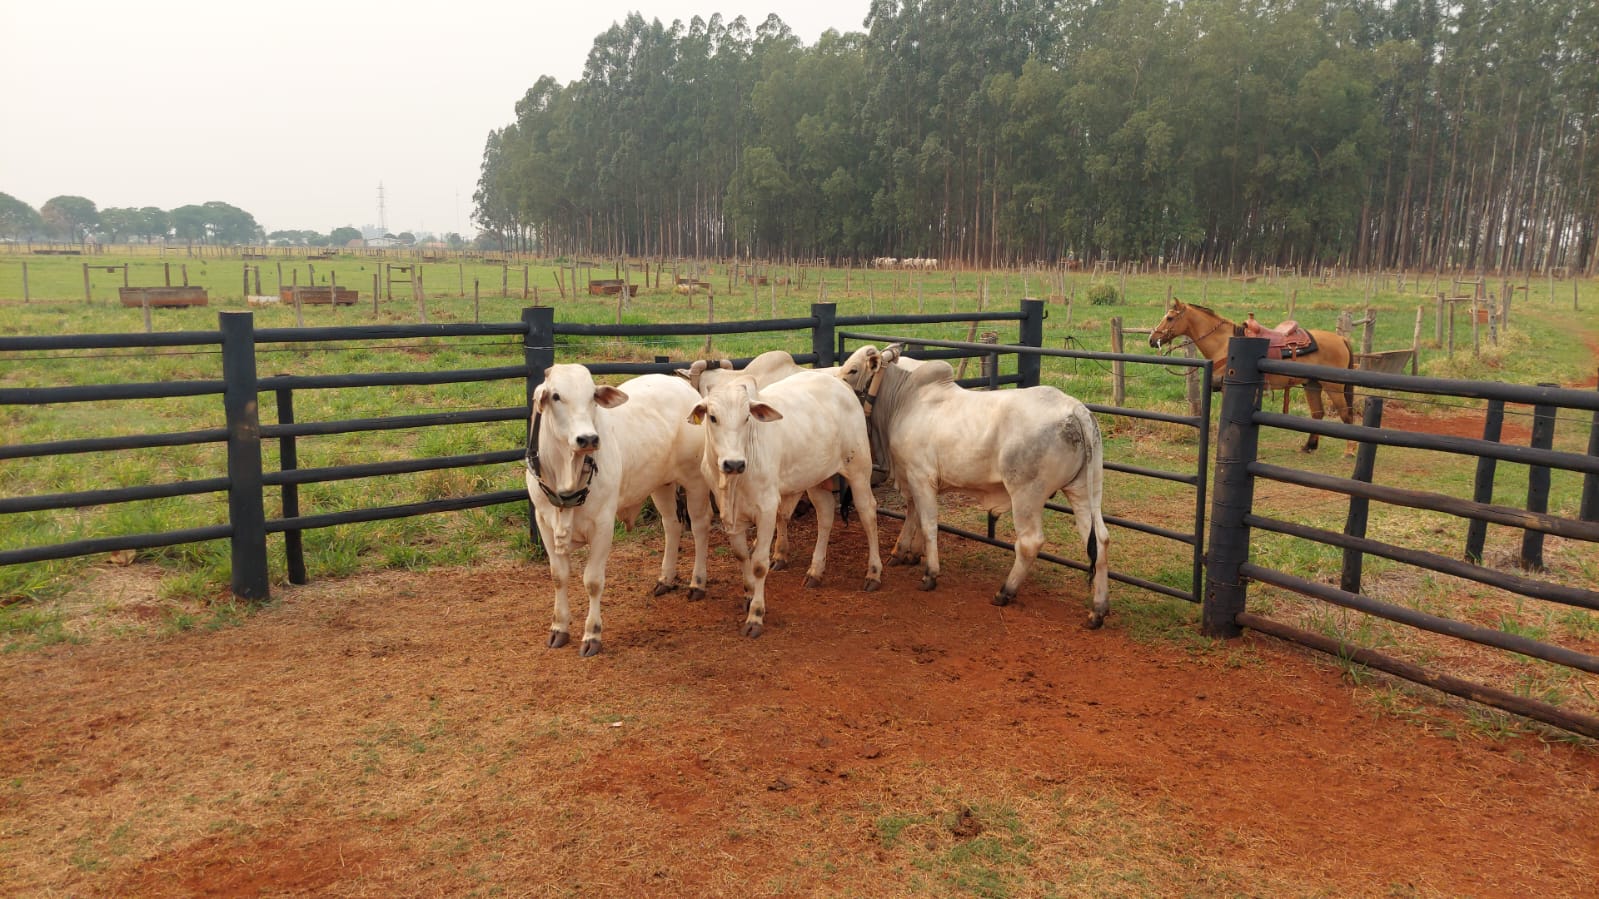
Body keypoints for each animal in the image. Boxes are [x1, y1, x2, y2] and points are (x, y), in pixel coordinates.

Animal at [524, 361, 713, 649]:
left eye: (592, 395)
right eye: (556, 396)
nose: (588, 439)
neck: (566, 473)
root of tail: (681, 384)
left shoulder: (603, 525)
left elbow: (592, 581)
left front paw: (592, 633)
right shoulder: (544, 523)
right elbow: (558, 576)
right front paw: (559, 627)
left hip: (695, 481)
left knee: (701, 528)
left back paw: (697, 583)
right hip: (661, 484)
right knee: (672, 525)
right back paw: (665, 579)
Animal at [690, 367, 889, 633]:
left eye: (747, 418)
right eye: (712, 417)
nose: (734, 463)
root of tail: (840, 383)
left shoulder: (766, 508)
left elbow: (759, 563)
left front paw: (756, 614)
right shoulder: (729, 513)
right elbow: (742, 555)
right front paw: (748, 594)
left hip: (859, 470)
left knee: (868, 513)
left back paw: (873, 573)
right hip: (815, 478)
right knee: (826, 514)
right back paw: (815, 571)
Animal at [837, 340, 1112, 623]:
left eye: (853, 369)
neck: (903, 398)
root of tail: (1074, 408)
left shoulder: (920, 476)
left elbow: (928, 523)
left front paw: (930, 573)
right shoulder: (909, 477)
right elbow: (914, 515)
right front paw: (905, 553)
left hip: (1026, 494)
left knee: (1030, 542)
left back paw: (1005, 591)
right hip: (1084, 490)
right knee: (1099, 539)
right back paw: (1098, 609)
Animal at [1144, 299, 1355, 454]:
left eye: (1170, 317)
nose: (1152, 340)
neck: (1225, 344)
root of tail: (1341, 339)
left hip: (1333, 387)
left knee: (1346, 414)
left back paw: (1349, 450)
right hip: (1312, 384)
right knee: (1317, 413)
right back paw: (1309, 446)